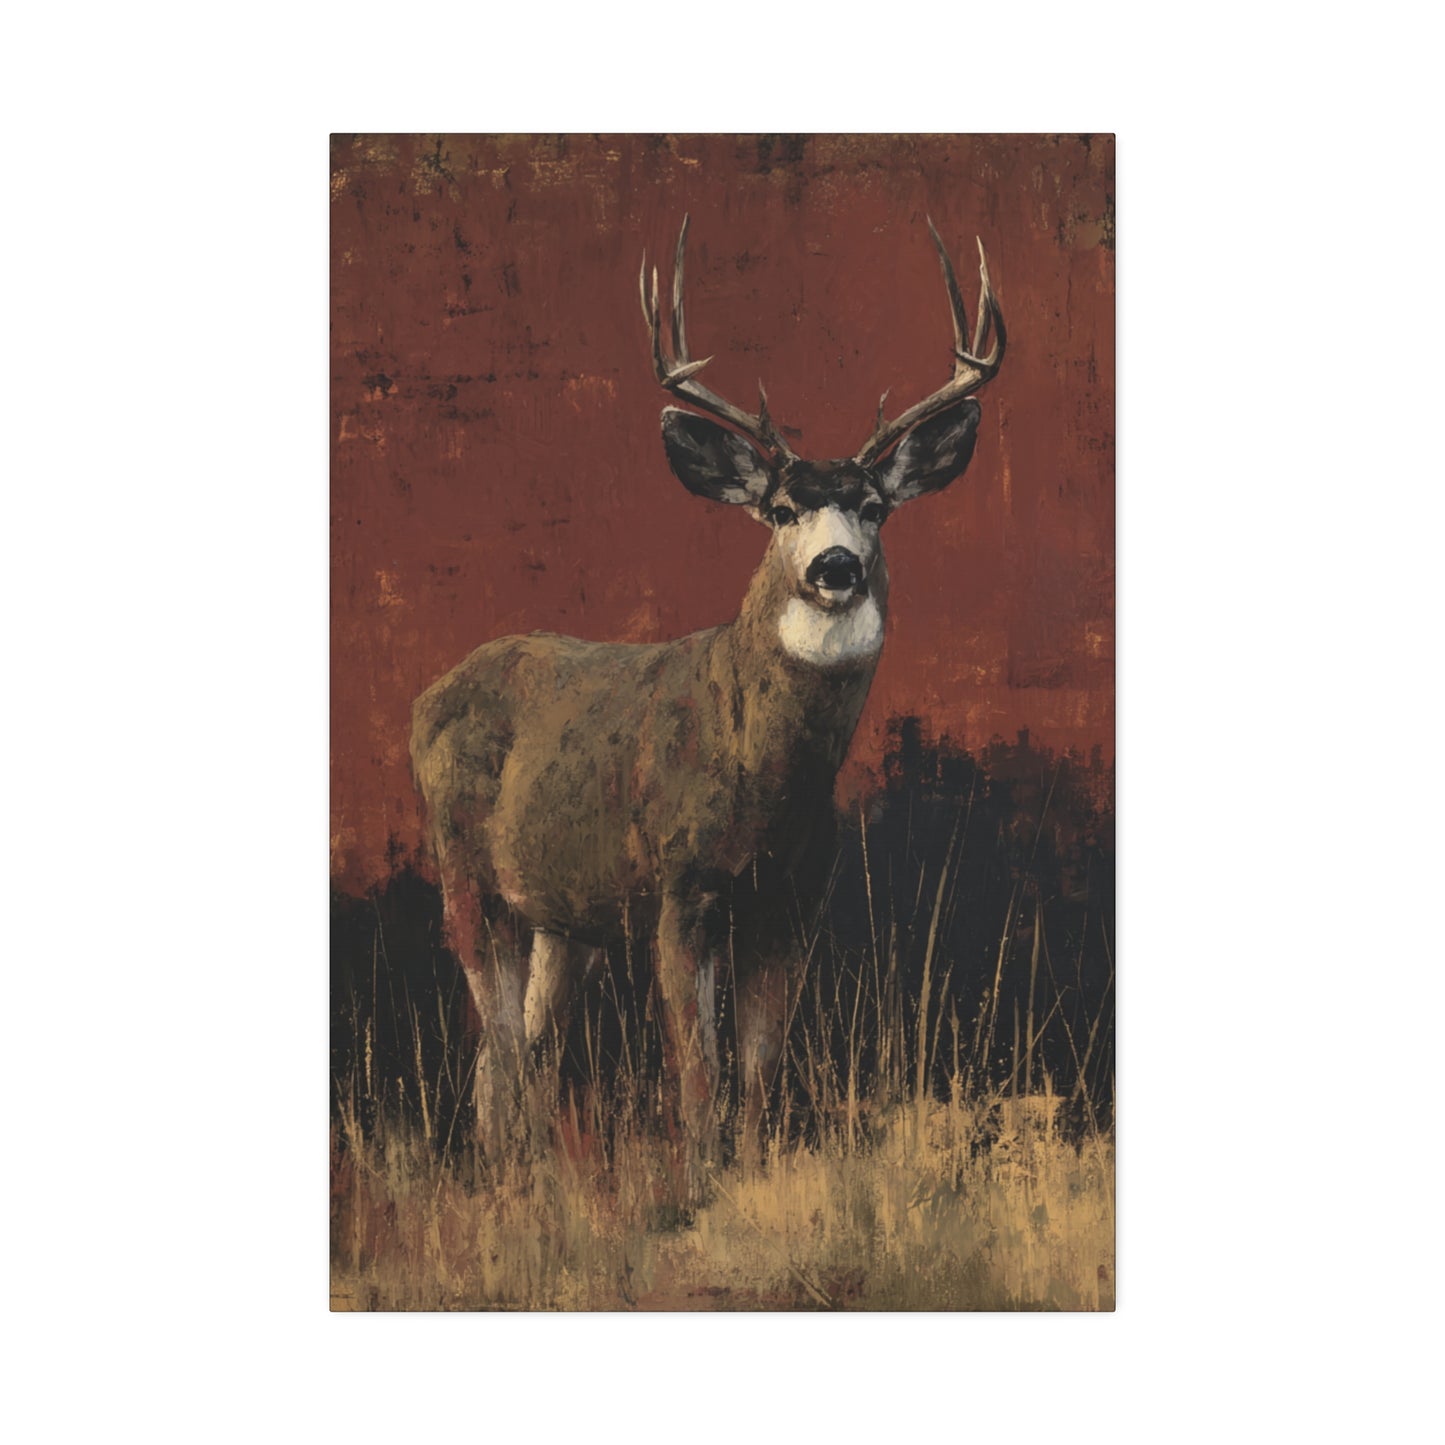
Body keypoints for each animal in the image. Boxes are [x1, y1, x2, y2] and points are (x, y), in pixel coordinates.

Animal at [410, 216, 1005, 1193]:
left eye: (873, 507)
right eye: (780, 508)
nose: (834, 566)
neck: (761, 782)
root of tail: (427, 694)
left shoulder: (788, 902)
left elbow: (758, 1065)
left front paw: (748, 1177)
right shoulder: (678, 887)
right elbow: (697, 1063)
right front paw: (694, 1187)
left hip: (561, 912)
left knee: (521, 1044)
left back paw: (525, 1176)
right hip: (462, 867)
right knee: (495, 1037)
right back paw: (514, 1179)